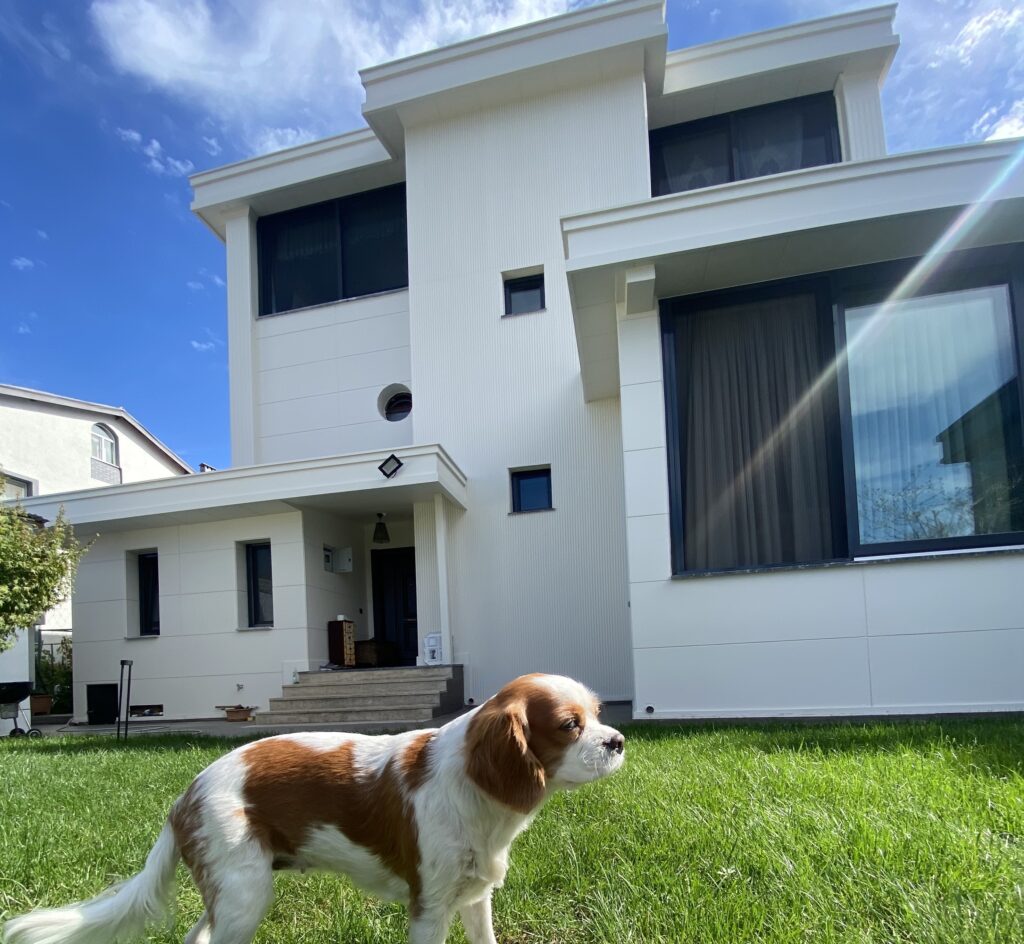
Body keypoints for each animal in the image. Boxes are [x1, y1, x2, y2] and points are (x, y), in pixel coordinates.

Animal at [3, 673, 625, 944]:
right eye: (569, 726)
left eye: (598, 714)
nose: (618, 740)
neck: (478, 789)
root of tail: (186, 792)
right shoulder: (429, 907)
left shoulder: (474, 899)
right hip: (244, 895)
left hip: (230, 894)